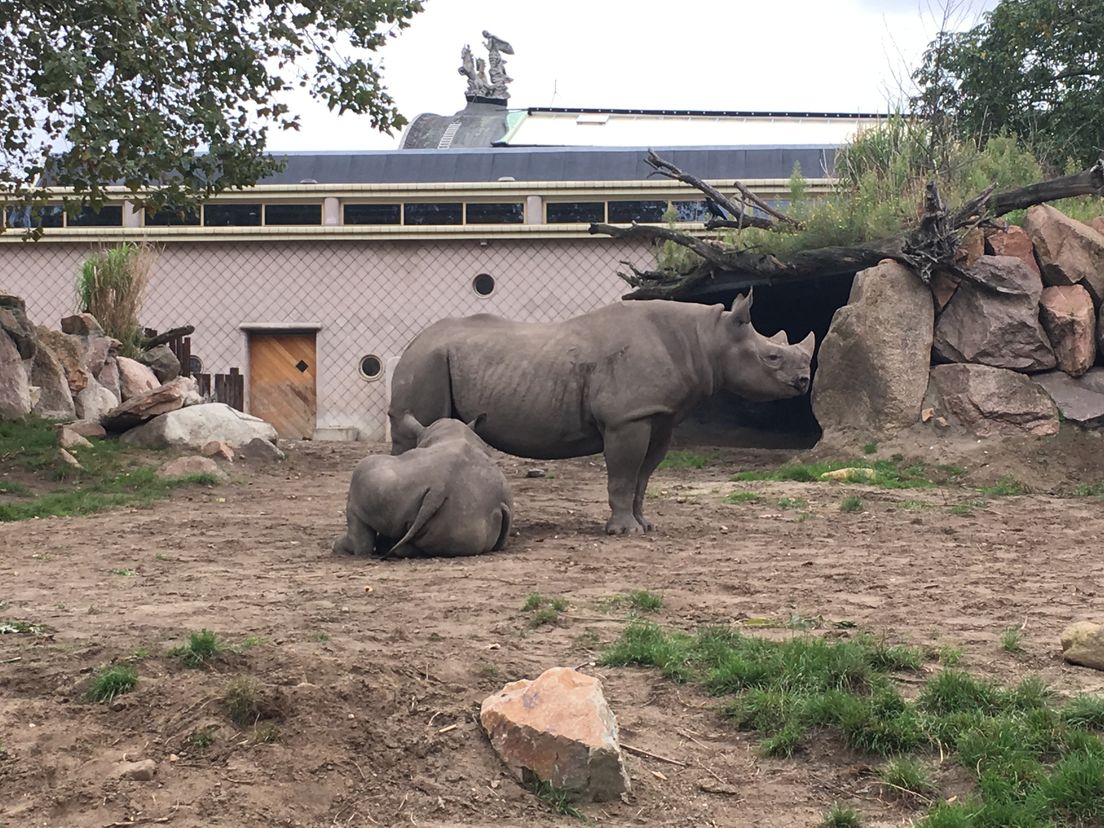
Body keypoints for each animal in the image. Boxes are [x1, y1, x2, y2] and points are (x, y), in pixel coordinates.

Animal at [388, 295, 812, 534]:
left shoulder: (659, 417)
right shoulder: (627, 417)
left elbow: (643, 477)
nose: (805, 381)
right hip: (426, 362)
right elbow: (623, 474)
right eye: (772, 358)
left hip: (433, 359)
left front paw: (644, 526)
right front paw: (623, 532)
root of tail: (413, 340)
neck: (706, 337)